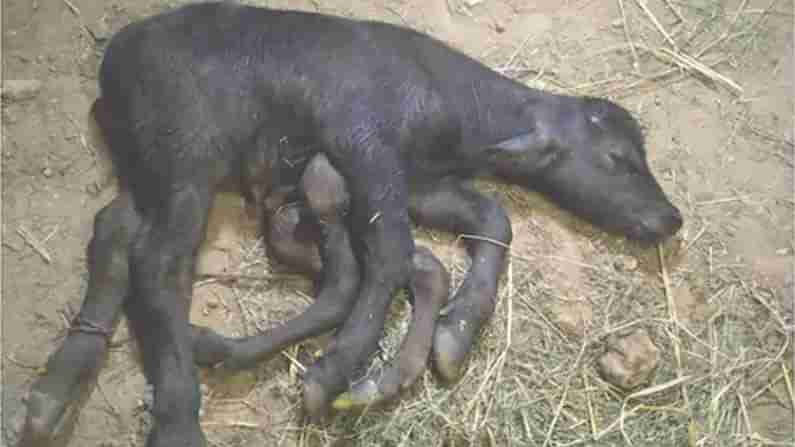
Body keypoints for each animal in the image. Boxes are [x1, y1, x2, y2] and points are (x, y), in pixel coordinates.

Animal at [18, 3, 680, 447]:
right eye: (619, 158)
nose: (670, 217)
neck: (445, 98)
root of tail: (115, 61)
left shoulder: (418, 181)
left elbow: (489, 219)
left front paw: (453, 335)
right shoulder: (368, 150)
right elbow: (389, 252)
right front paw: (338, 370)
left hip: (149, 167)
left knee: (114, 233)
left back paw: (56, 389)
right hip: (186, 156)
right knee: (159, 264)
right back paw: (178, 416)